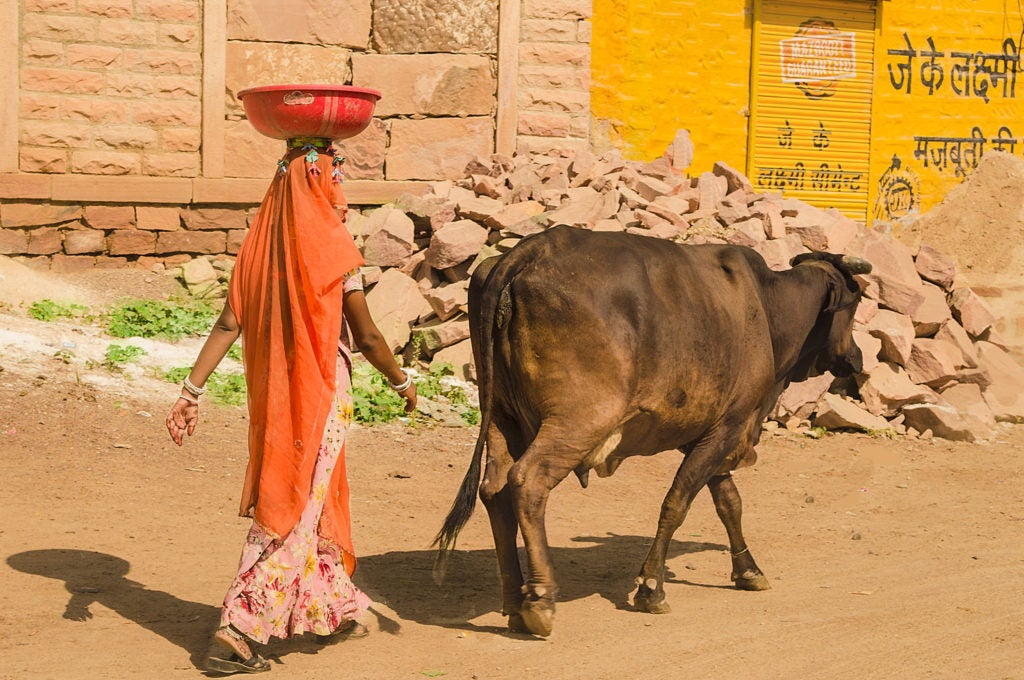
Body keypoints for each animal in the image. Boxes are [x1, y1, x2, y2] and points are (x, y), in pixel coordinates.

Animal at [433, 225, 871, 637]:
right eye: (854, 304)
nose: (856, 358)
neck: (767, 306)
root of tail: (534, 247)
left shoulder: (708, 432)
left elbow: (728, 501)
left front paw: (747, 569)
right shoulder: (729, 425)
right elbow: (677, 503)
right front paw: (651, 587)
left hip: (501, 418)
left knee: (495, 491)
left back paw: (513, 601)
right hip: (578, 421)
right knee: (527, 481)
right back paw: (540, 601)